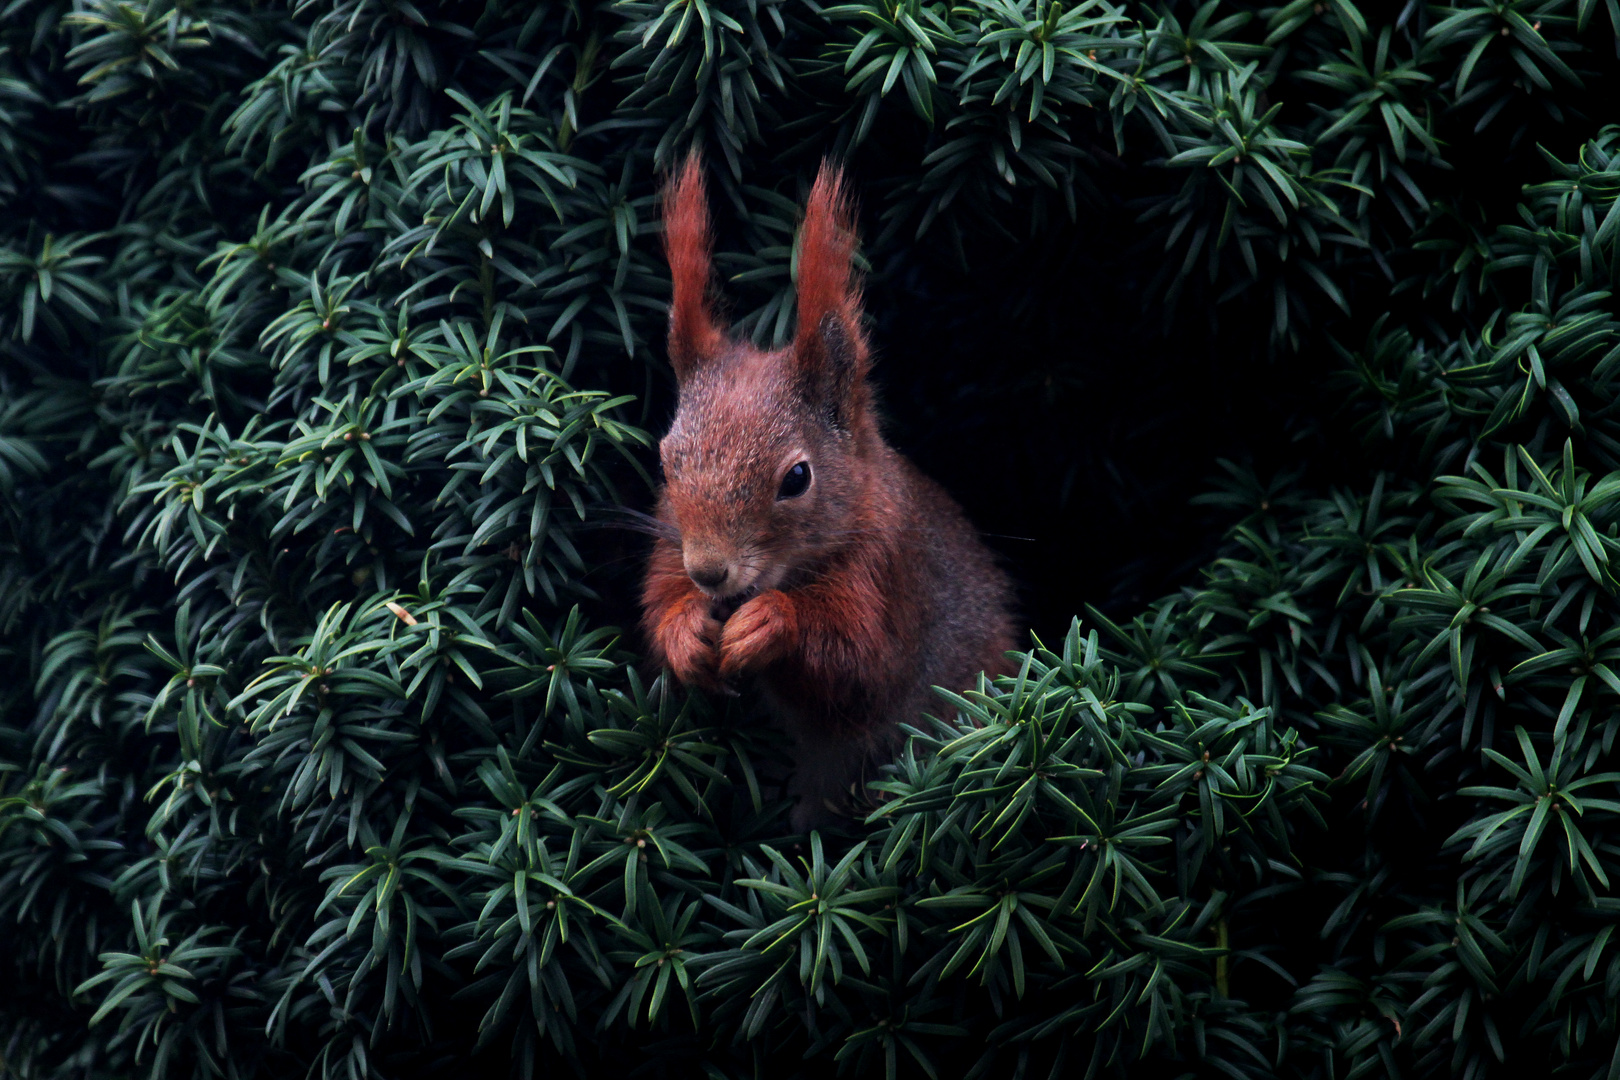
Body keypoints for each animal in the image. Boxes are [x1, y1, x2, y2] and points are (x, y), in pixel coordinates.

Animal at [641, 152, 1010, 829]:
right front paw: (685, 631)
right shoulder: (666, 549)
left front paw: (770, 622)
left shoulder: (887, 569)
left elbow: (862, 663)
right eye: (666, 460)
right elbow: (660, 602)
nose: (710, 571)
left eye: (797, 478)